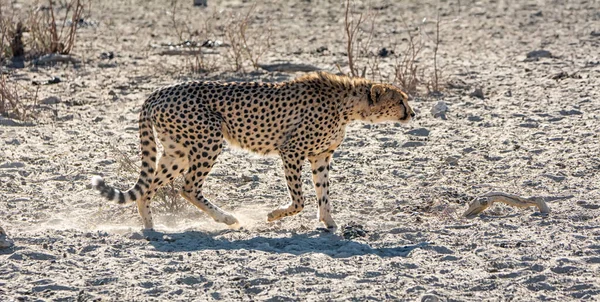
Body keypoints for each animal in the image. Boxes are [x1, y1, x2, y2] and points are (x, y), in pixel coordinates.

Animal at [91, 71, 414, 231]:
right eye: (400, 101)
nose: (412, 113)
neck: (348, 105)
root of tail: (158, 91)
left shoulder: (321, 156)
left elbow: (323, 193)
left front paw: (329, 223)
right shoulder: (291, 150)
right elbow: (299, 200)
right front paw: (274, 215)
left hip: (178, 151)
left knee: (150, 186)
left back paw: (149, 225)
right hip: (209, 139)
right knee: (188, 187)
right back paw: (227, 219)